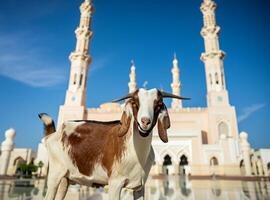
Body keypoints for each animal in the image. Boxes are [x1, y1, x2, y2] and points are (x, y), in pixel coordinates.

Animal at [39, 88, 189, 199]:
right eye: (135, 103)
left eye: (158, 104)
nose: (145, 122)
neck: (135, 152)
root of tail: (54, 134)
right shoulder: (115, 184)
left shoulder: (139, 187)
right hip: (55, 174)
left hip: (66, 178)